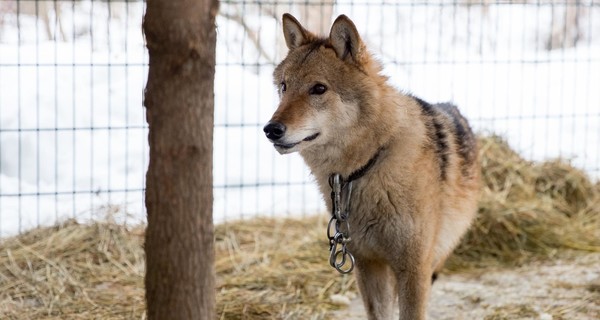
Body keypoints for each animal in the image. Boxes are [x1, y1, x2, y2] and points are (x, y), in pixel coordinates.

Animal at [262, 13, 478, 320]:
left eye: (318, 89)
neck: (365, 168)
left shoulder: (414, 269)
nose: (271, 130)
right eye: (284, 86)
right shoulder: (367, 265)